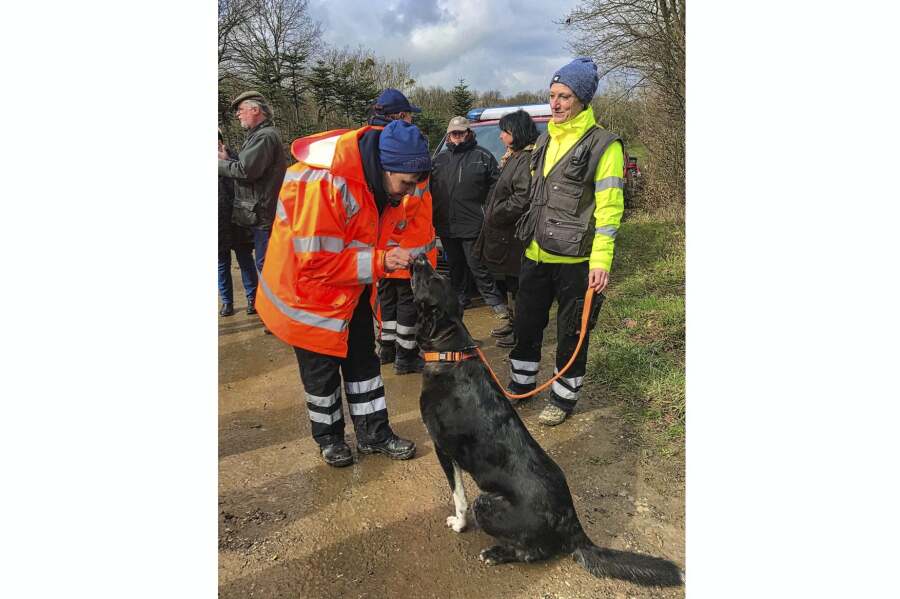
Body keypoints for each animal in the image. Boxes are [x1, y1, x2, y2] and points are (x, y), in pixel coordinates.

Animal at [410, 255, 684, 588]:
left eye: (429, 280)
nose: (418, 258)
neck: (449, 350)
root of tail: (571, 522)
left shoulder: (443, 449)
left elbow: (458, 496)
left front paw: (458, 524)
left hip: (487, 503)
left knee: (532, 552)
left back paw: (496, 553)